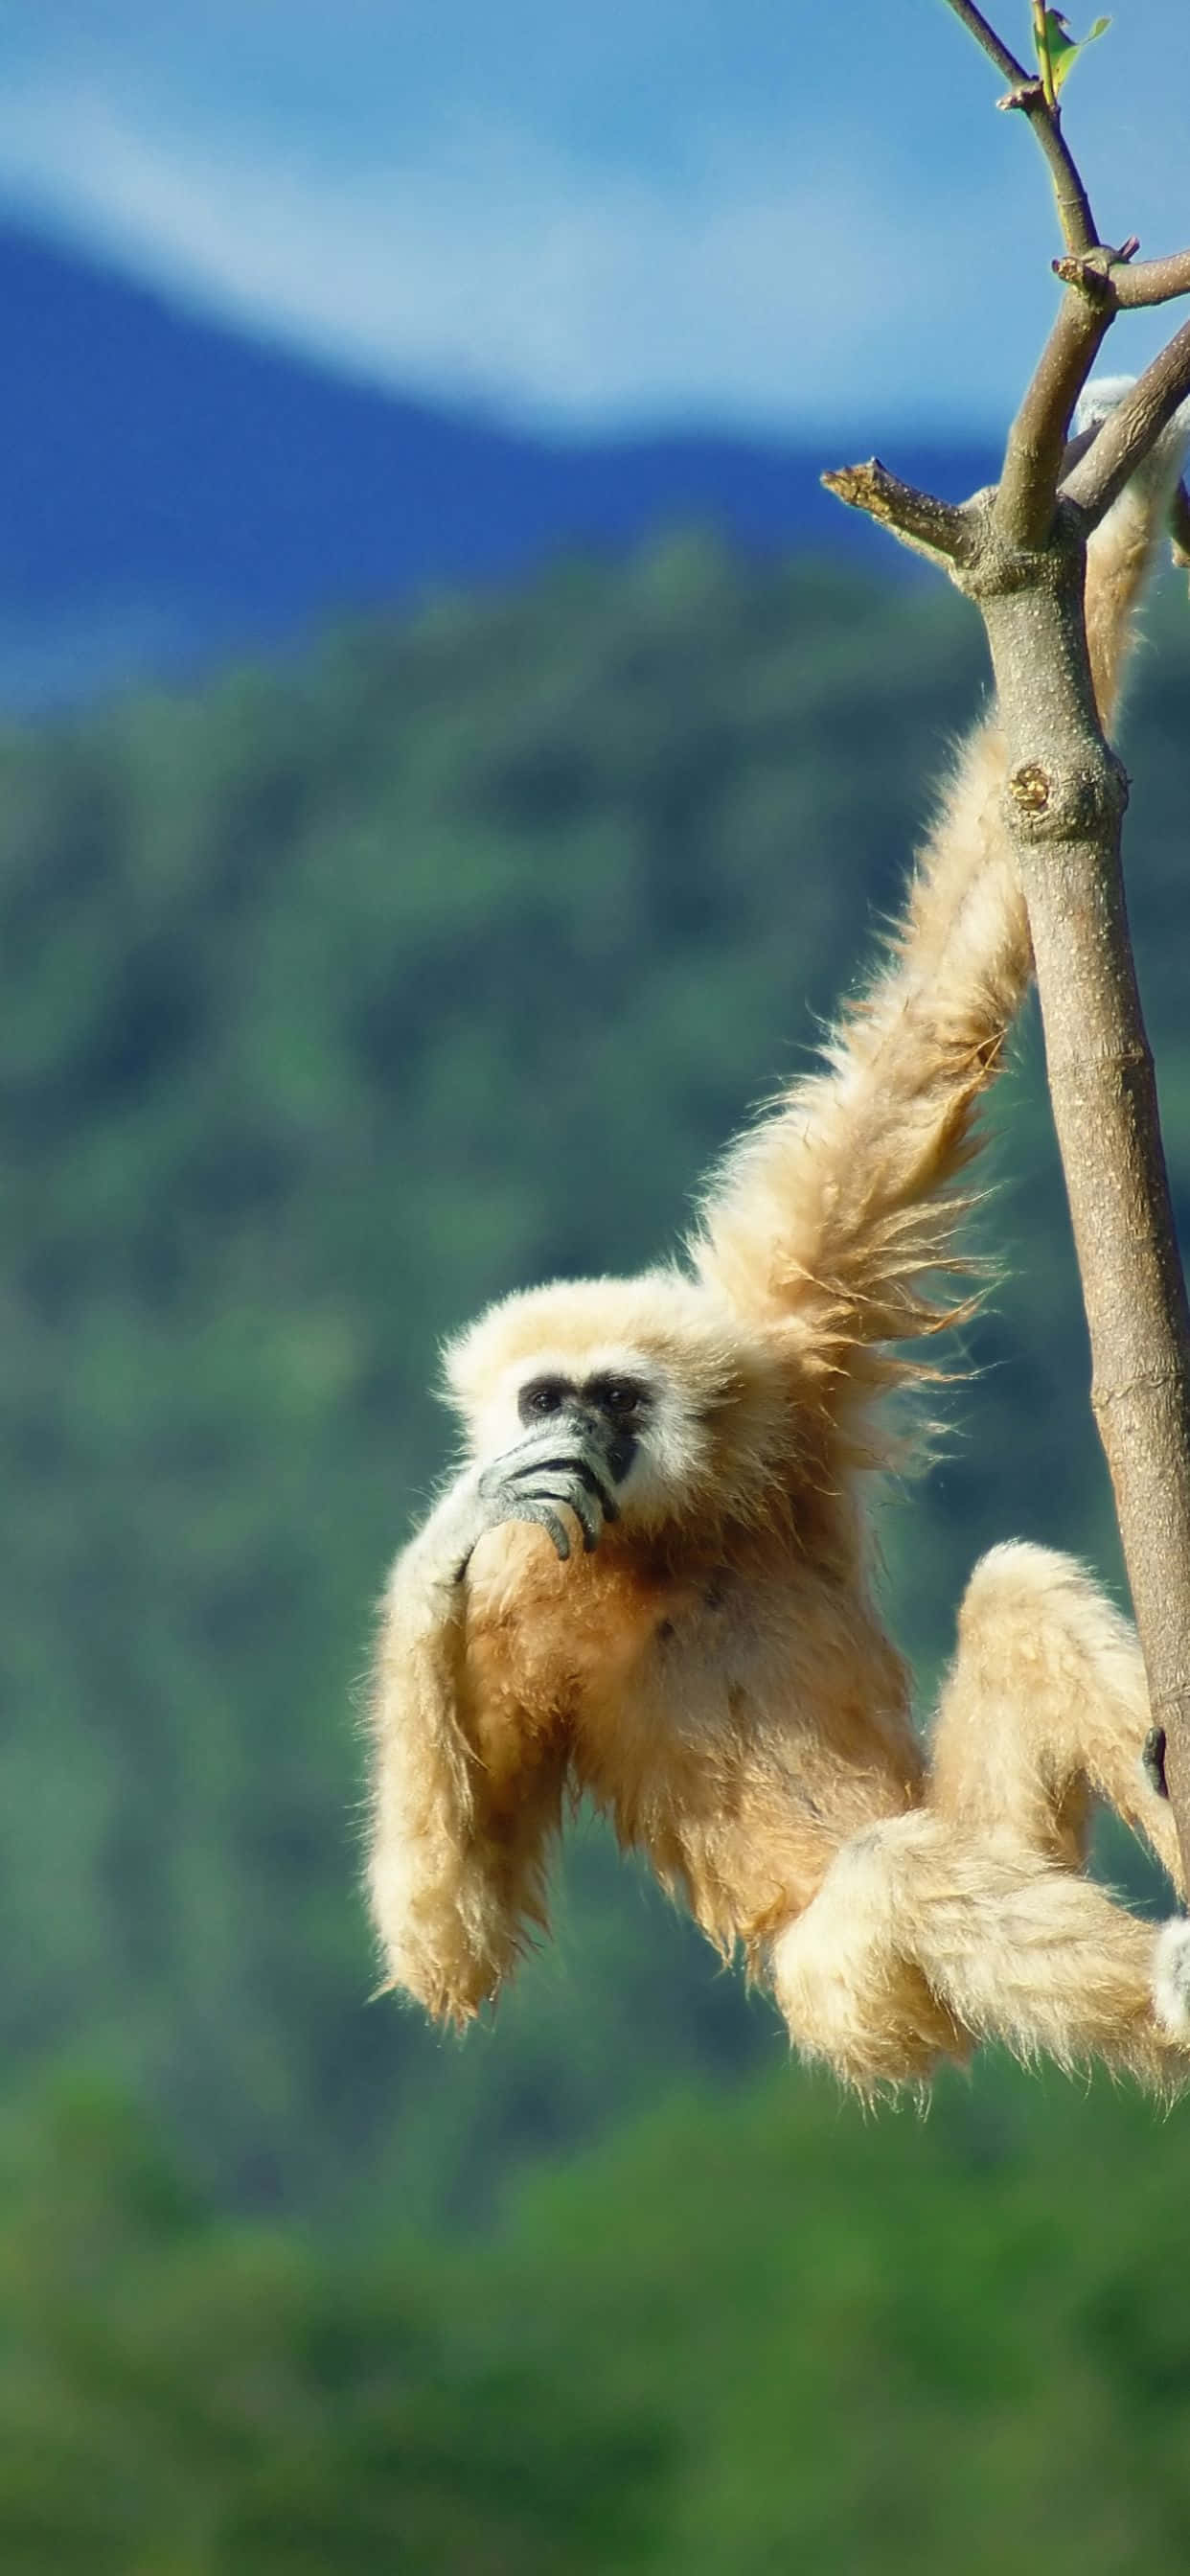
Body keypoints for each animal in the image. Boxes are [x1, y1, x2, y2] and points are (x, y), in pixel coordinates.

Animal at [366, 385, 1190, 2094]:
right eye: (546, 1399)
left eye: (617, 1395)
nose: (574, 1432)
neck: (666, 1537)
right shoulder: (529, 1612)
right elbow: (450, 1954)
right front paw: (448, 1534)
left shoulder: (796, 1334)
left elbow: (937, 1007)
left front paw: (1124, 471)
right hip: (851, 2002)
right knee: (895, 1880)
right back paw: (1164, 1993)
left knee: (1011, 1600)